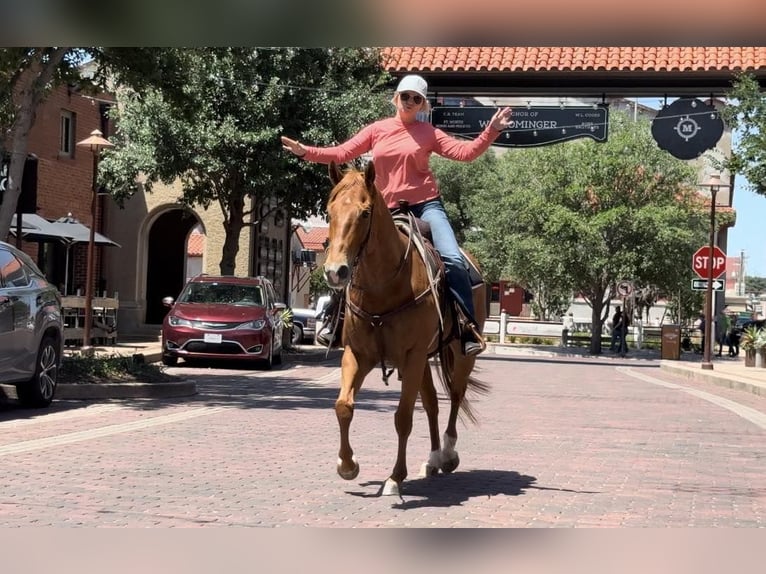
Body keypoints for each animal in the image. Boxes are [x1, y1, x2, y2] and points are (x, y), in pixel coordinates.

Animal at [326, 160, 492, 498]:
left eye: (365, 213)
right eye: (329, 211)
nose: (336, 271)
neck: (384, 286)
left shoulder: (411, 356)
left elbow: (402, 417)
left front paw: (395, 477)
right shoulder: (358, 354)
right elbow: (344, 406)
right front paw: (347, 466)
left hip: (458, 354)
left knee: (455, 395)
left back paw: (448, 454)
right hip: (423, 360)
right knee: (431, 404)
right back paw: (432, 460)